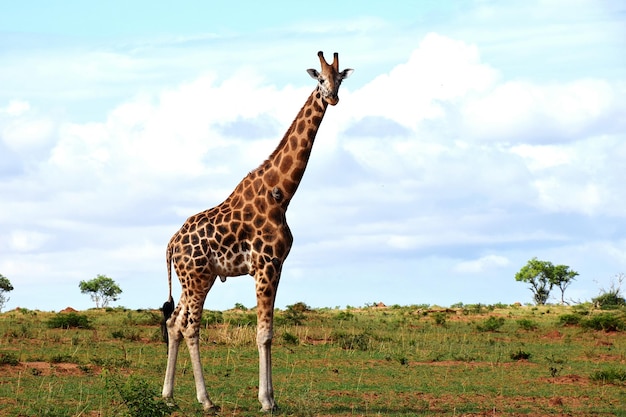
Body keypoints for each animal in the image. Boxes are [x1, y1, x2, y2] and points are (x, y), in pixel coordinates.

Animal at [161, 50, 352, 412]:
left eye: (340, 79)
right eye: (320, 79)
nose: (333, 98)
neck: (283, 194)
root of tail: (170, 245)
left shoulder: (276, 266)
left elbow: (268, 332)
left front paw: (270, 397)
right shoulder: (266, 265)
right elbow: (264, 334)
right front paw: (267, 401)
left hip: (193, 278)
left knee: (173, 322)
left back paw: (167, 396)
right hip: (197, 278)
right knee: (191, 327)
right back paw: (206, 400)